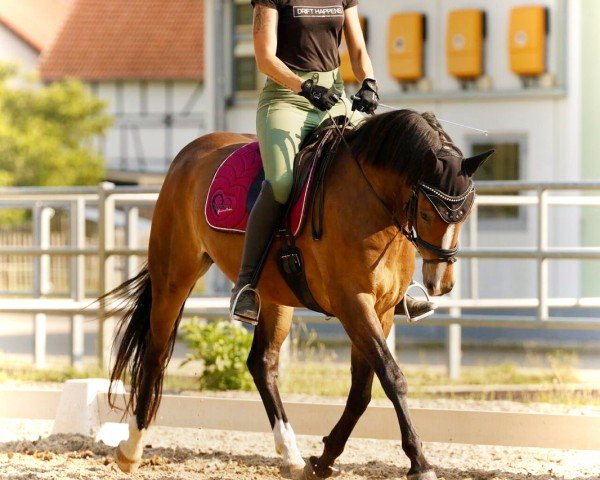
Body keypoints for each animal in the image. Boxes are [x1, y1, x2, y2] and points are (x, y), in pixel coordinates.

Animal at [105, 109, 494, 480]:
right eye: (427, 213)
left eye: (466, 213)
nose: (441, 284)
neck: (372, 204)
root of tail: (189, 152)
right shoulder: (354, 305)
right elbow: (392, 378)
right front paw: (419, 461)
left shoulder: (380, 311)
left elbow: (362, 390)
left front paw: (323, 460)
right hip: (174, 277)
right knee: (155, 354)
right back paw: (131, 448)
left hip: (274, 298)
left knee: (262, 364)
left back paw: (290, 454)